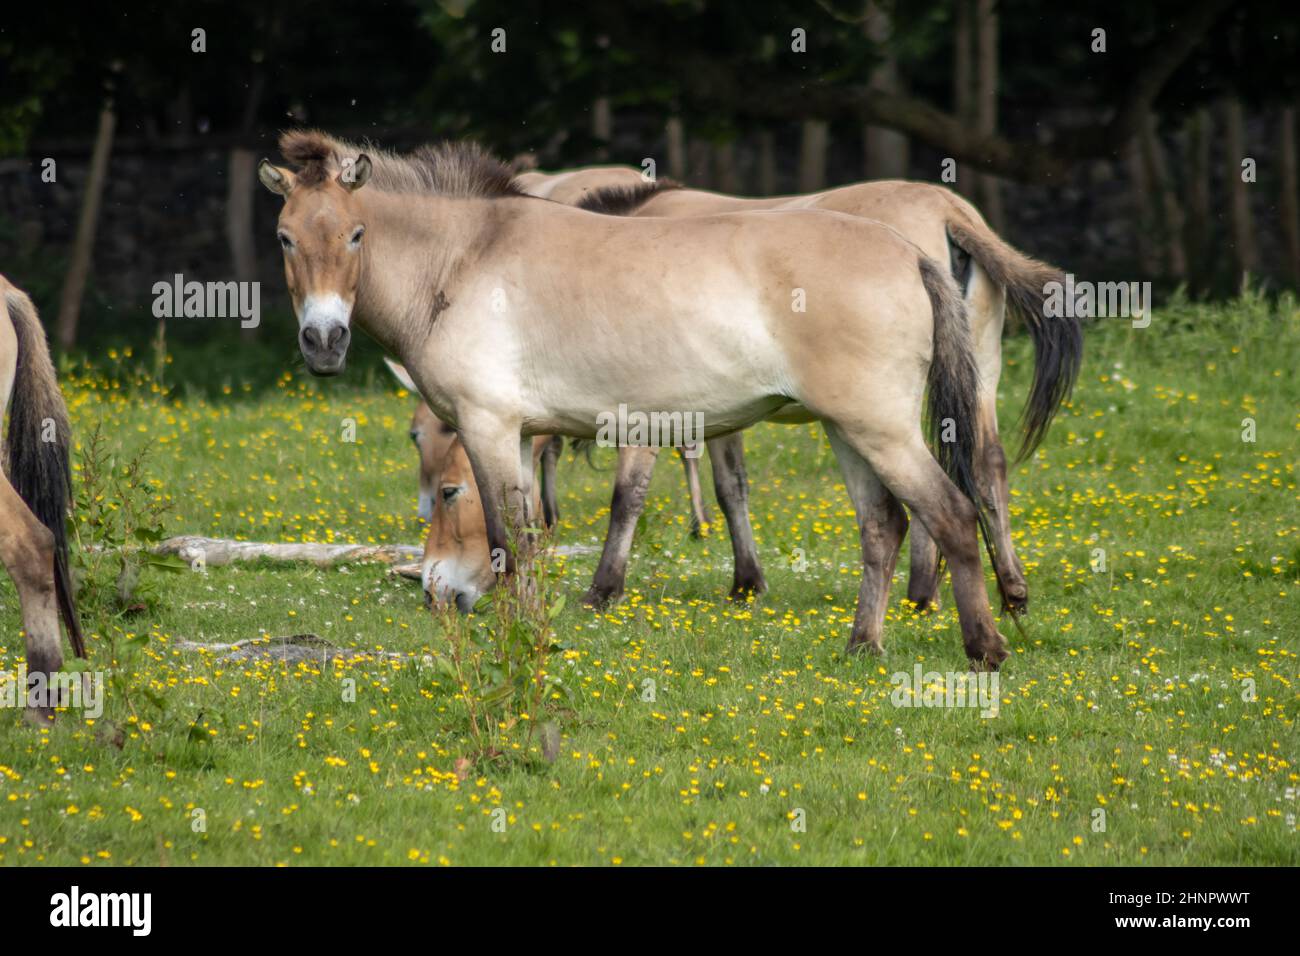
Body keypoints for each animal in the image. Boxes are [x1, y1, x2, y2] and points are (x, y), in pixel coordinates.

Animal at [263, 134, 1008, 671]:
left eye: (356, 234)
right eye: (285, 237)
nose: (323, 341)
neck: (462, 260)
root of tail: (913, 251)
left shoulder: (490, 428)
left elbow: (514, 543)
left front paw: (527, 642)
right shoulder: (525, 435)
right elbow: (530, 539)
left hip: (879, 429)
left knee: (951, 513)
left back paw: (984, 648)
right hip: (845, 431)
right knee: (883, 526)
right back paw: (862, 647)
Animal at [514, 169, 1076, 613]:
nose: (539, 530)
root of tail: (947, 210)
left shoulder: (652, 408)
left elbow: (628, 496)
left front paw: (604, 588)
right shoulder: (717, 409)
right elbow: (732, 489)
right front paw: (746, 580)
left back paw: (923, 592)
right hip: (975, 376)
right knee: (986, 465)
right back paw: (1008, 590)